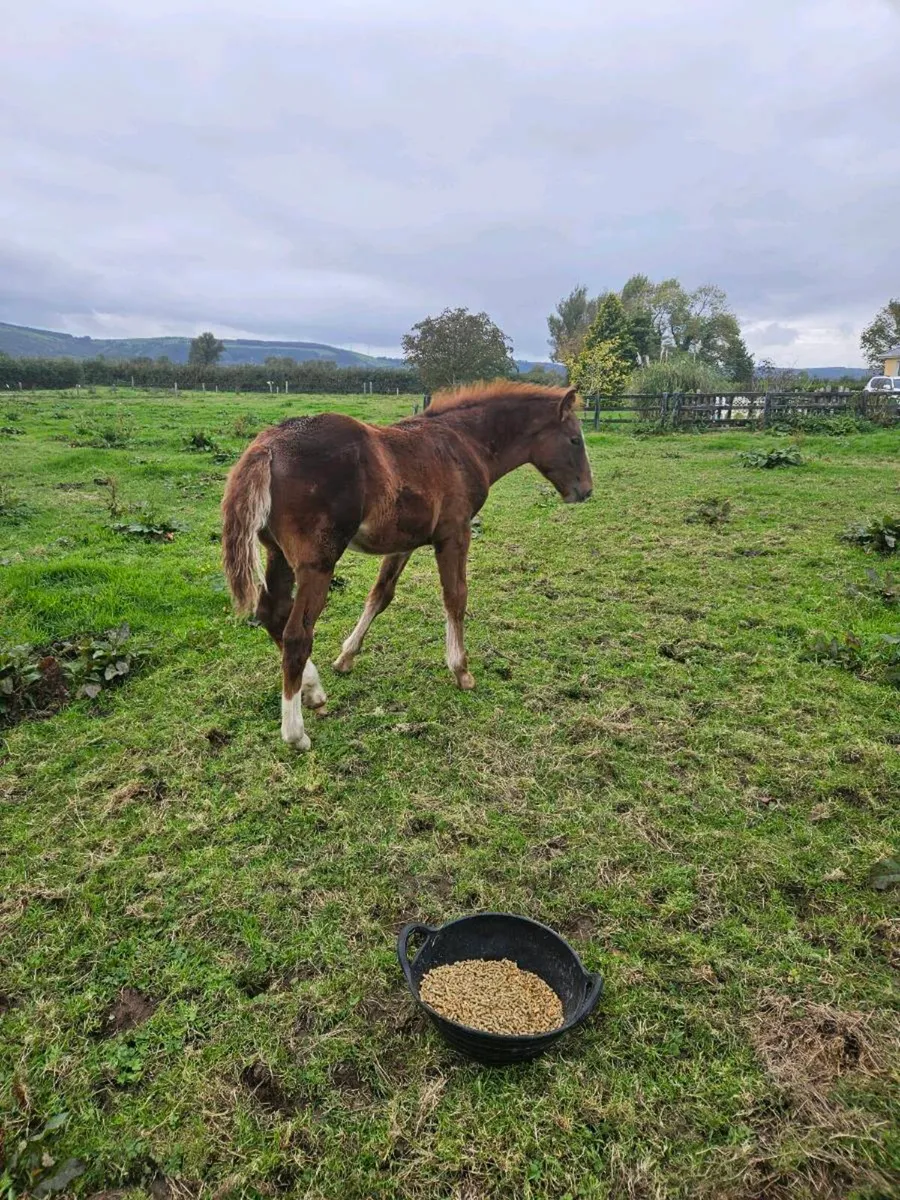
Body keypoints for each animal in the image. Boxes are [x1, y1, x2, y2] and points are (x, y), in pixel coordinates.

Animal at [221, 380, 593, 750]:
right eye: (575, 439)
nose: (585, 491)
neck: (463, 443)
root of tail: (267, 447)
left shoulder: (404, 543)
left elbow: (380, 595)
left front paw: (346, 657)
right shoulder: (455, 533)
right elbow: (456, 597)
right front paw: (461, 670)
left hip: (277, 554)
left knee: (272, 613)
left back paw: (314, 691)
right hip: (318, 563)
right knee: (297, 634)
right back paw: (296, 733)